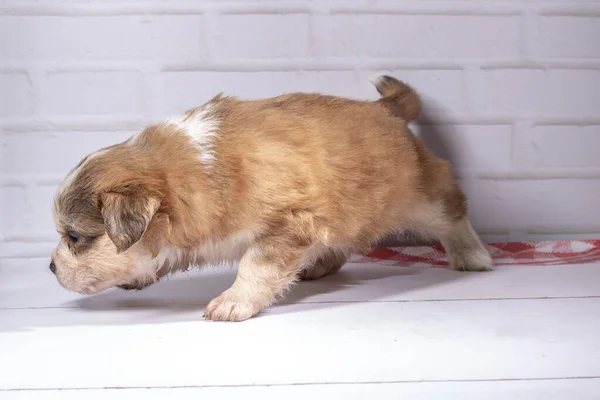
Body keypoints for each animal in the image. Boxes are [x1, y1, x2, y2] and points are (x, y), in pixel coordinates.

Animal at [51, 76, 492, 322]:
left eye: (74, 237)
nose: (51, 268)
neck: (195, 175)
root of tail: (385, 108)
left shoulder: (288, 224)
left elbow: (255, 267)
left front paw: (233, 303)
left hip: (421, 194)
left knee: (453, 210)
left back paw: (473, 255)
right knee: (340, 241)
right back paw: (318, 265)